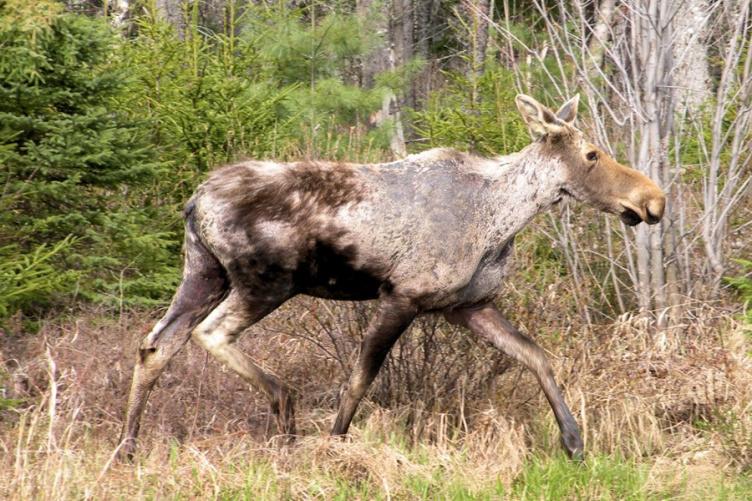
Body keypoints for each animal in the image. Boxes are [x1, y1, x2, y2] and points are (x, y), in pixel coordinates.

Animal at [117, 93, 664, 458]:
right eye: (592, 154)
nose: (652, 200)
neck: (501, 218)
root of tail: (193, 201)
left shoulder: (465, 305)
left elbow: (536, 356)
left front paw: (574, 441)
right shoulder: (404, 296)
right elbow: (359, 379)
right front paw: (335, 444)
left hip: (204, 273)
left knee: (155, 344)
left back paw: (127, 446)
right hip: (265, 282)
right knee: (210, 334)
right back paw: (286, 411)